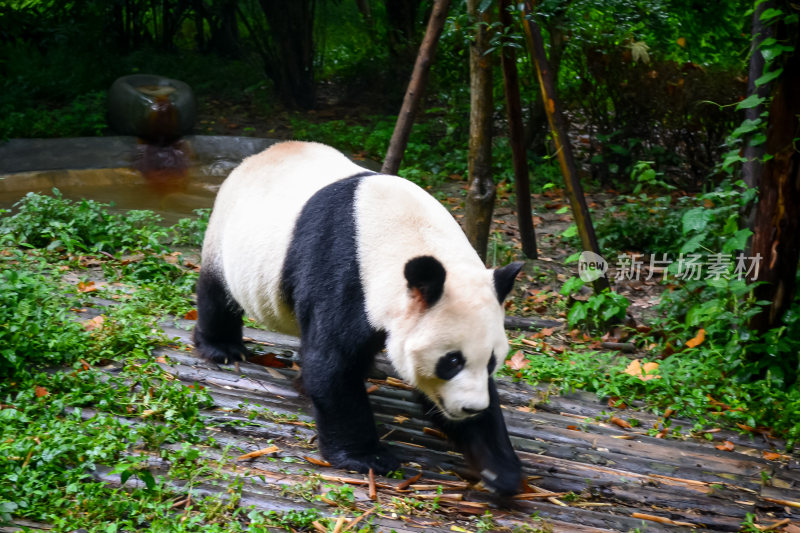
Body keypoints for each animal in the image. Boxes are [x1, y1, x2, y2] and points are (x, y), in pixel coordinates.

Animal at [195, 140, 524, 494]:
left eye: (492, 361)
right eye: (451, 361)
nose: (470, 408)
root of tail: (260, 154)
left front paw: (499, 468)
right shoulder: (345, 272)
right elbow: (333, 363)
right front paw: (368, 457)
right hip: (227, 236)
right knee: (218, 294)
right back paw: (223, 349)